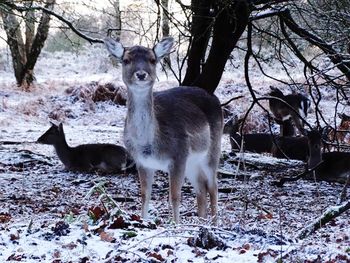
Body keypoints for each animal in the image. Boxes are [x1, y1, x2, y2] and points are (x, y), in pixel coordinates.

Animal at [104, 36, 223, 223]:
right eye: (126, 60)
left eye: (153, 60)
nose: (141, 74)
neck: (150, 144)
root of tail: (215, 99)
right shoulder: (142, 161)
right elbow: (145, 195)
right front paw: (144, 220)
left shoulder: (178, 155)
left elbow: (174, 196)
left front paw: (176, 225)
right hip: (193, 162)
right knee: (201, 187)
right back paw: (201, 221)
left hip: (212, 150)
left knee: (213, 186)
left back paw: (214, 223)